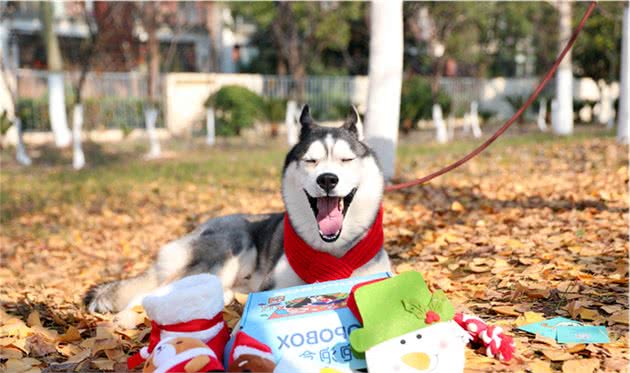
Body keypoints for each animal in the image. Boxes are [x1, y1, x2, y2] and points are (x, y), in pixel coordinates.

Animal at [84, 105, 390, 314]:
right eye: (310, 160)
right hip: (231, 246)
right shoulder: (271, 288)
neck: (331, 251)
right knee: (148, 297)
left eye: (346, 159)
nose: (327, 179)